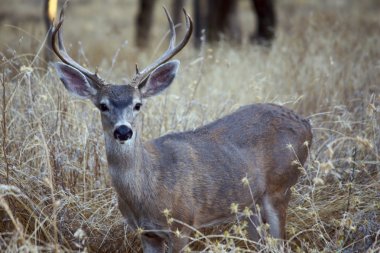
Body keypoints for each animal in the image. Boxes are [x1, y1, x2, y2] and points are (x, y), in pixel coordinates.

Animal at [50, 2, 312, 252]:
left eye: (138, 104)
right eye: (102, 105)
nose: (123, 131)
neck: (148, 188)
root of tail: (306, 124)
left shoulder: (181, 224)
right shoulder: (146, 232)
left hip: (281, 187)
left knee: (280, 242)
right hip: (251, 206)